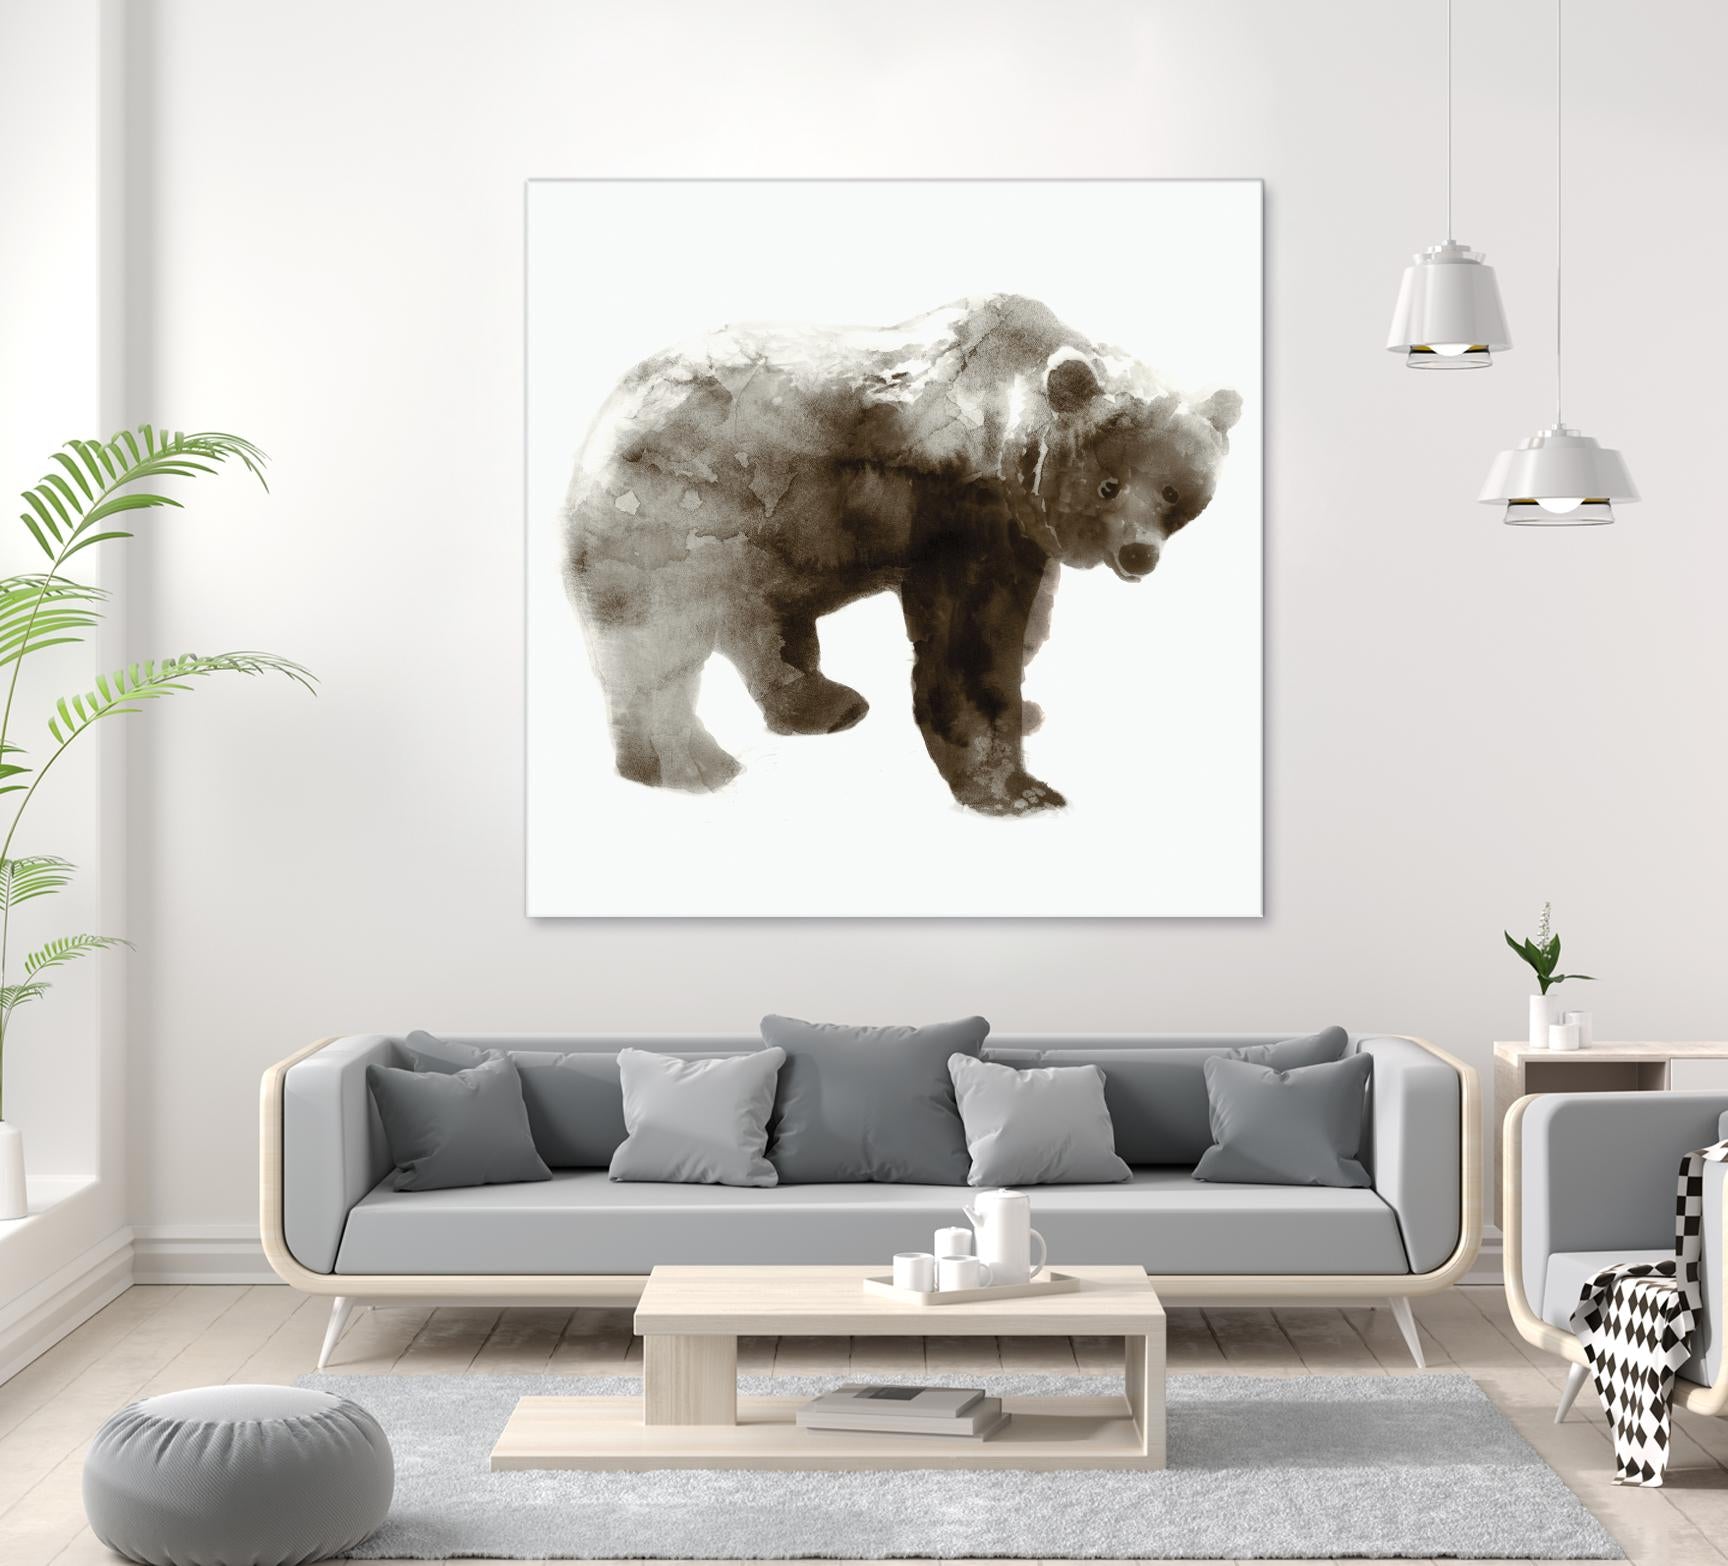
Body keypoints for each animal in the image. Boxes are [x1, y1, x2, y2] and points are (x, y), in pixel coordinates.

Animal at [562, 293, 1241, 816]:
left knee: (763, 626)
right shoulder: (959, 508)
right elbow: (970, 642)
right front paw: (1020, 789)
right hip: (679, 514)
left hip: (767, 545)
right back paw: (689, 766)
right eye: (1109, 484)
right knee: (658, 642)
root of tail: (603, 417)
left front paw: (1029, 709)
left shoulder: (1021, 528)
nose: (1139, 553)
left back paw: (824, 705)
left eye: (1175, 491)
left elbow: (1028, 622)